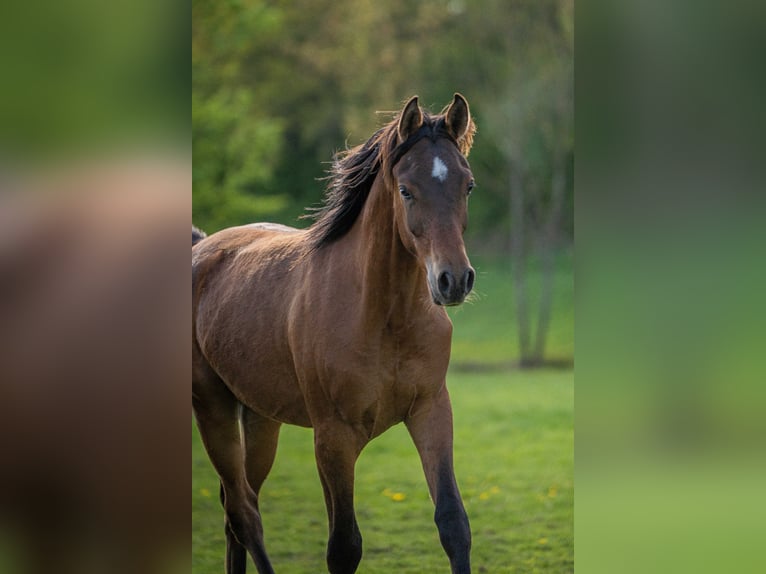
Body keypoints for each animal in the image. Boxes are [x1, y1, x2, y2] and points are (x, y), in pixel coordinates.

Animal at [192, 94, 477, 574]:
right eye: (406, 190)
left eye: (468, 185)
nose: (453, 280)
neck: (384, 318)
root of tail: (201, 246)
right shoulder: (334, 438)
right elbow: (344, 545)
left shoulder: (432, 411)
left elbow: (453, 523)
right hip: (212, 407)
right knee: (243, 512)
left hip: (261, 417)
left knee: (237, 511)